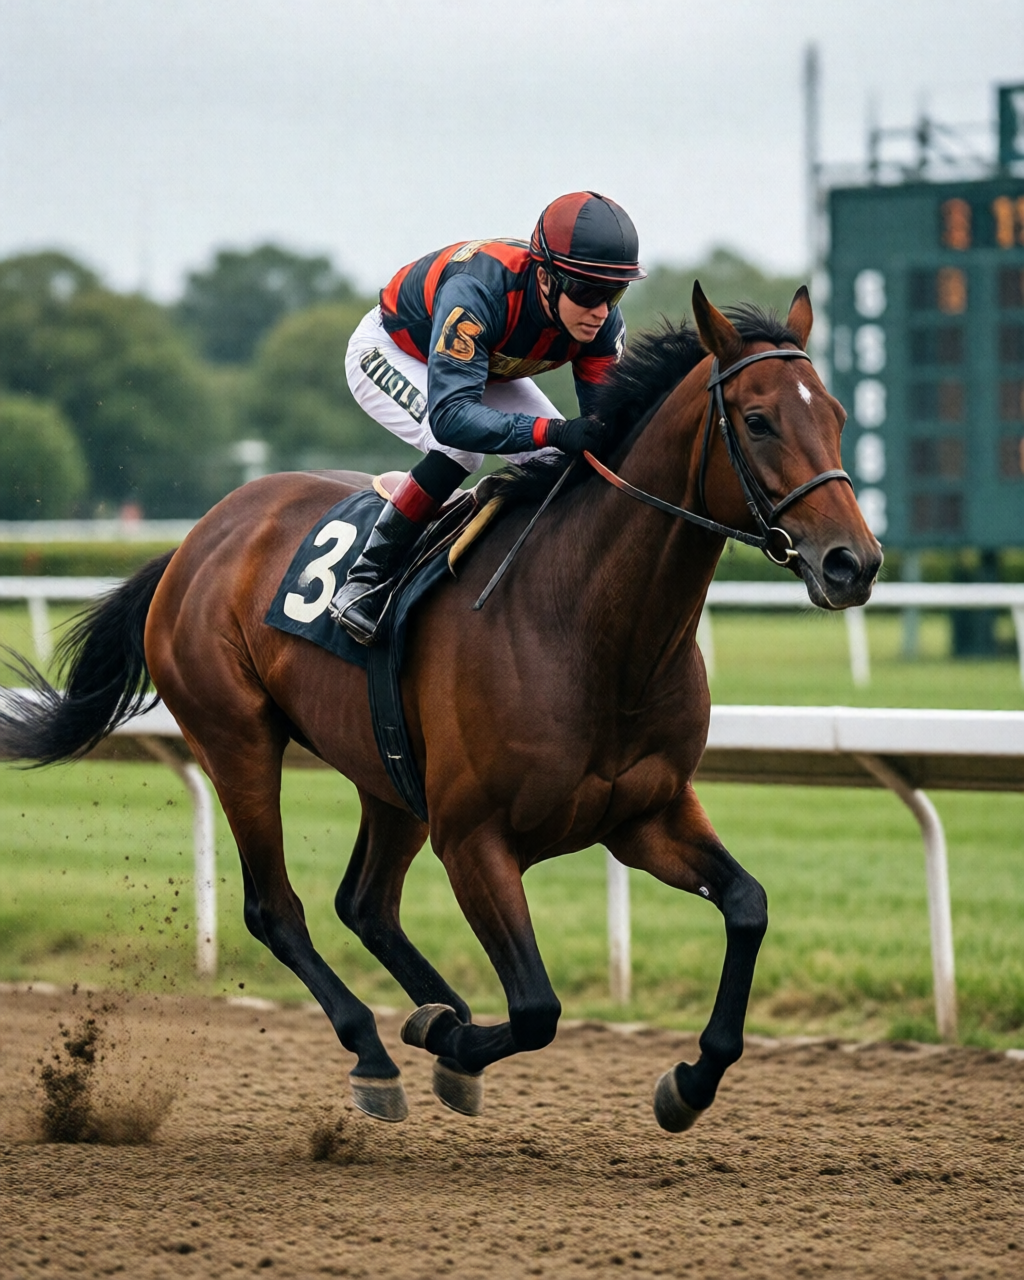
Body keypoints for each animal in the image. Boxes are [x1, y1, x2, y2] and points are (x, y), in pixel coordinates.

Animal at [0, 283, 881, 1132]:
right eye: (759, 421)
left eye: (837, 415)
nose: (854, 563)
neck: (589, 628)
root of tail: (194, 542)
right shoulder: (473, 838)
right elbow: (536, 1007)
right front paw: (451, 1044)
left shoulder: (645, 814)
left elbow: (748, 907)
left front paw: (689, 1082)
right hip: (236, 739)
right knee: (276, 909)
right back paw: (378, 1050)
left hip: (387, 771)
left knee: (364, 903)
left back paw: (435, 1009)